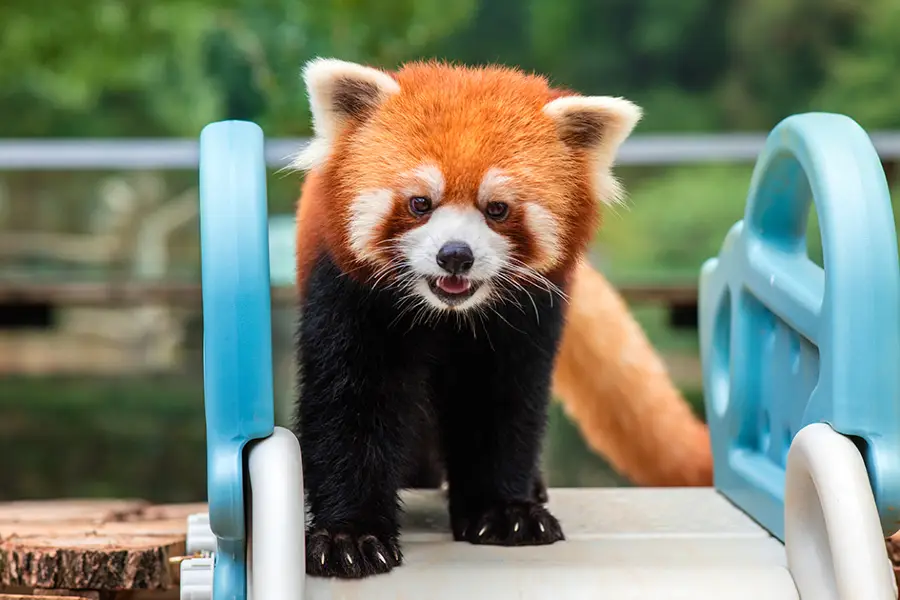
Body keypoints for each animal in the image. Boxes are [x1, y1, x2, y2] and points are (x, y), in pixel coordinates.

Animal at [288, 58, 712, 580]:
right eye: (420, 203)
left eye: (497, 209)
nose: (455, 255)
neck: (445, 314)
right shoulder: (349, 297)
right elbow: (351, 404)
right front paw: (350, 536)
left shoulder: (525, 318)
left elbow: (501, 403)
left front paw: (504, 511)